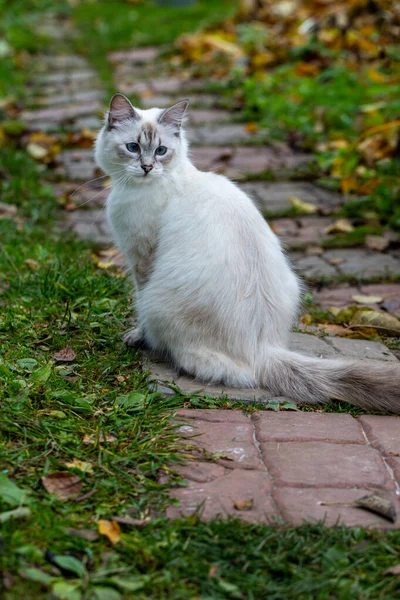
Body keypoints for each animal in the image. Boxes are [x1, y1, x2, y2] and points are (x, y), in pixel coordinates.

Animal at [96, 94, 400, 412]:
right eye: (133, 148)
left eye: (161, 151)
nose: (146, 167)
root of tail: (262, 350)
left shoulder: (142, 259)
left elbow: (138, 306)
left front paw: (135, 337)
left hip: (157, 301)